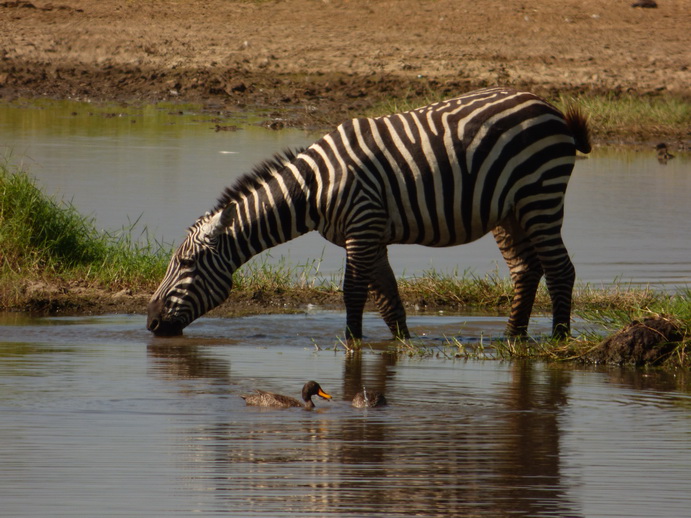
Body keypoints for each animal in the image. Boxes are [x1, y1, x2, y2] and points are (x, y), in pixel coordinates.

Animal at [146, 87, 588, 344]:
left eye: (186, 263)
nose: (149, 322)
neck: (312, 189)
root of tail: (549, 108)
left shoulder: (361, 227)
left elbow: (353, 293)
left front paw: (351, 344)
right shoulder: (369, 236)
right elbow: (389, 299)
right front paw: (402, 346)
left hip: (540, 196)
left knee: (560, 269)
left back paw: (558, 341)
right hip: (509, 212)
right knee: (526, 269)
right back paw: (512, 338)